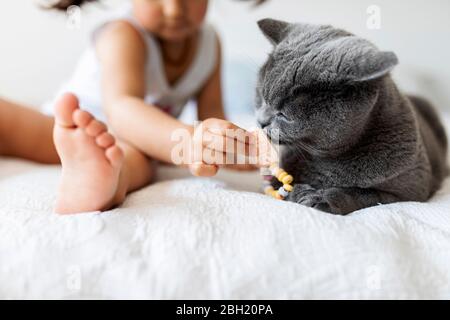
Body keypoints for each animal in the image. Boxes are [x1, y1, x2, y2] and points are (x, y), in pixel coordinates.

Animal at [255, 19, 448, 215]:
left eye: (284, 115)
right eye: (262, 98)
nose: (261, 122)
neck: (327, 158)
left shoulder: (411, 189)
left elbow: (362, 194)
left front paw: (321, 198)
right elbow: (281, 185)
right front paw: (302, 191)